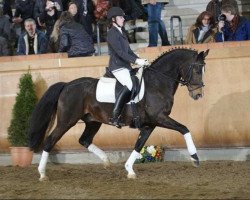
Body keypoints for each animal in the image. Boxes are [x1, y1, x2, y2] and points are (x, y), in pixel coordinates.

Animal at [28, 47, 209, 180]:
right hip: (67, 120)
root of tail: (67, 85)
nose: (198, 95)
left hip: (93, 121)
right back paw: (42, 173)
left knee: (84, 140)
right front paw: (195, 158)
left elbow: (139, 145)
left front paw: (129, 170)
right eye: (197, 70)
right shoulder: (160, 118)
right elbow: (184, 129)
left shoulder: (150, 124)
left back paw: (106, 161)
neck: (158, 83)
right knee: (50, 141)